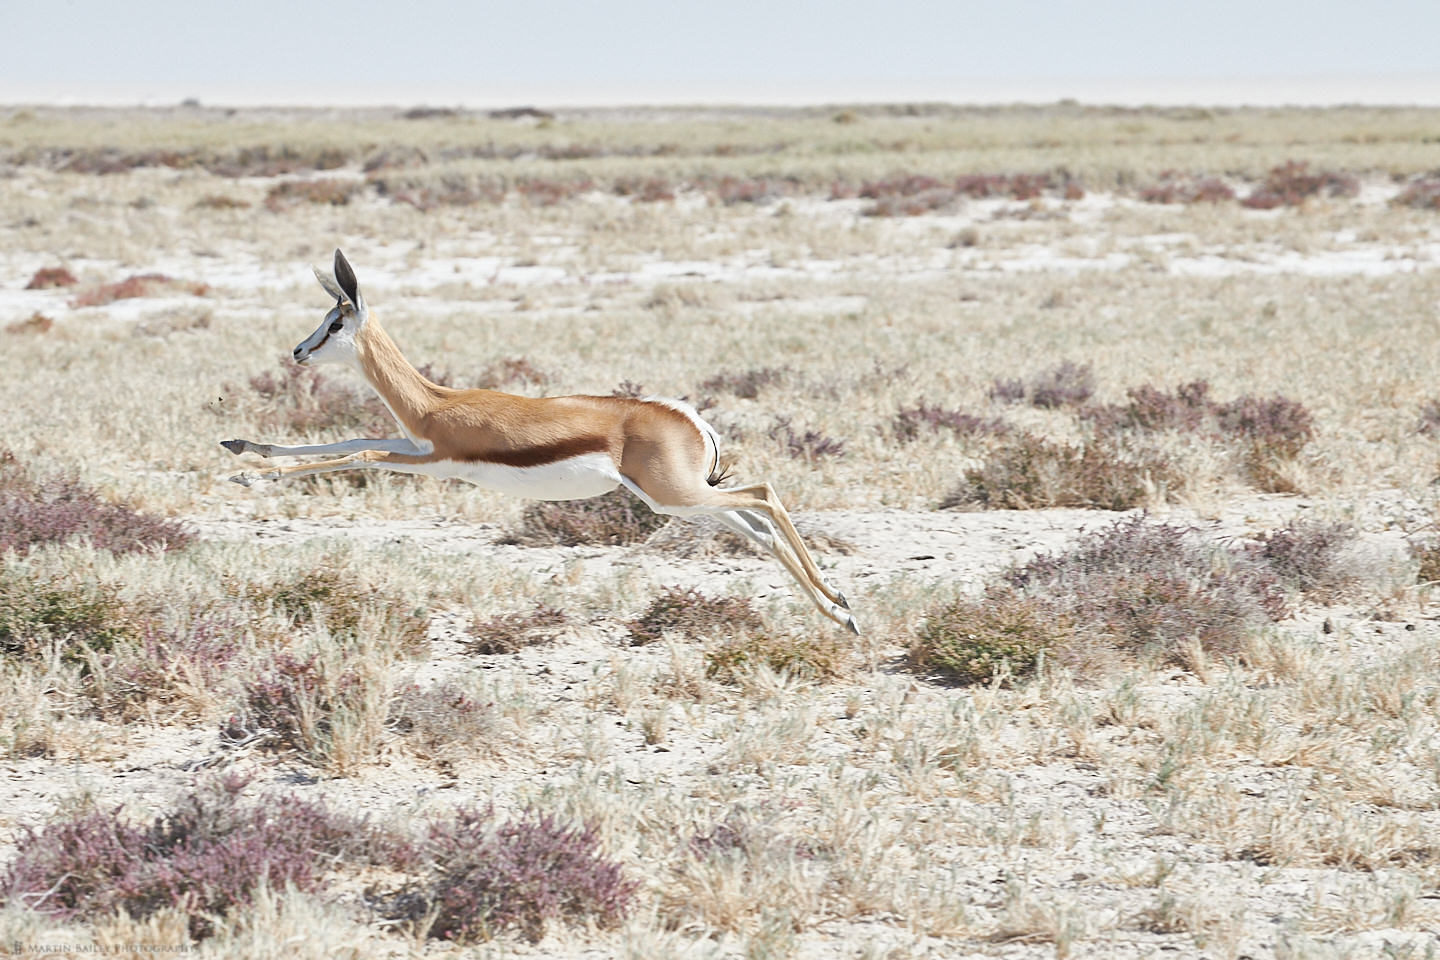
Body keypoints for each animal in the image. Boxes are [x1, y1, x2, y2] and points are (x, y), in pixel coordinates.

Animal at [223, 251, 852, 633]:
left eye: (335, 322)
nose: (298, 352)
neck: (435, 403)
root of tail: (690, 420)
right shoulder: (416, 448)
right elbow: (347, 437)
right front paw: (239, 446)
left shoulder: (436, 461)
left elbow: (359, 452)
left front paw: (248, 475)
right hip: (677, 499)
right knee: (758, 527)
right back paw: (840, 610)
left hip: (675, 496)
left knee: (765, 494)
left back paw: (843, 611)